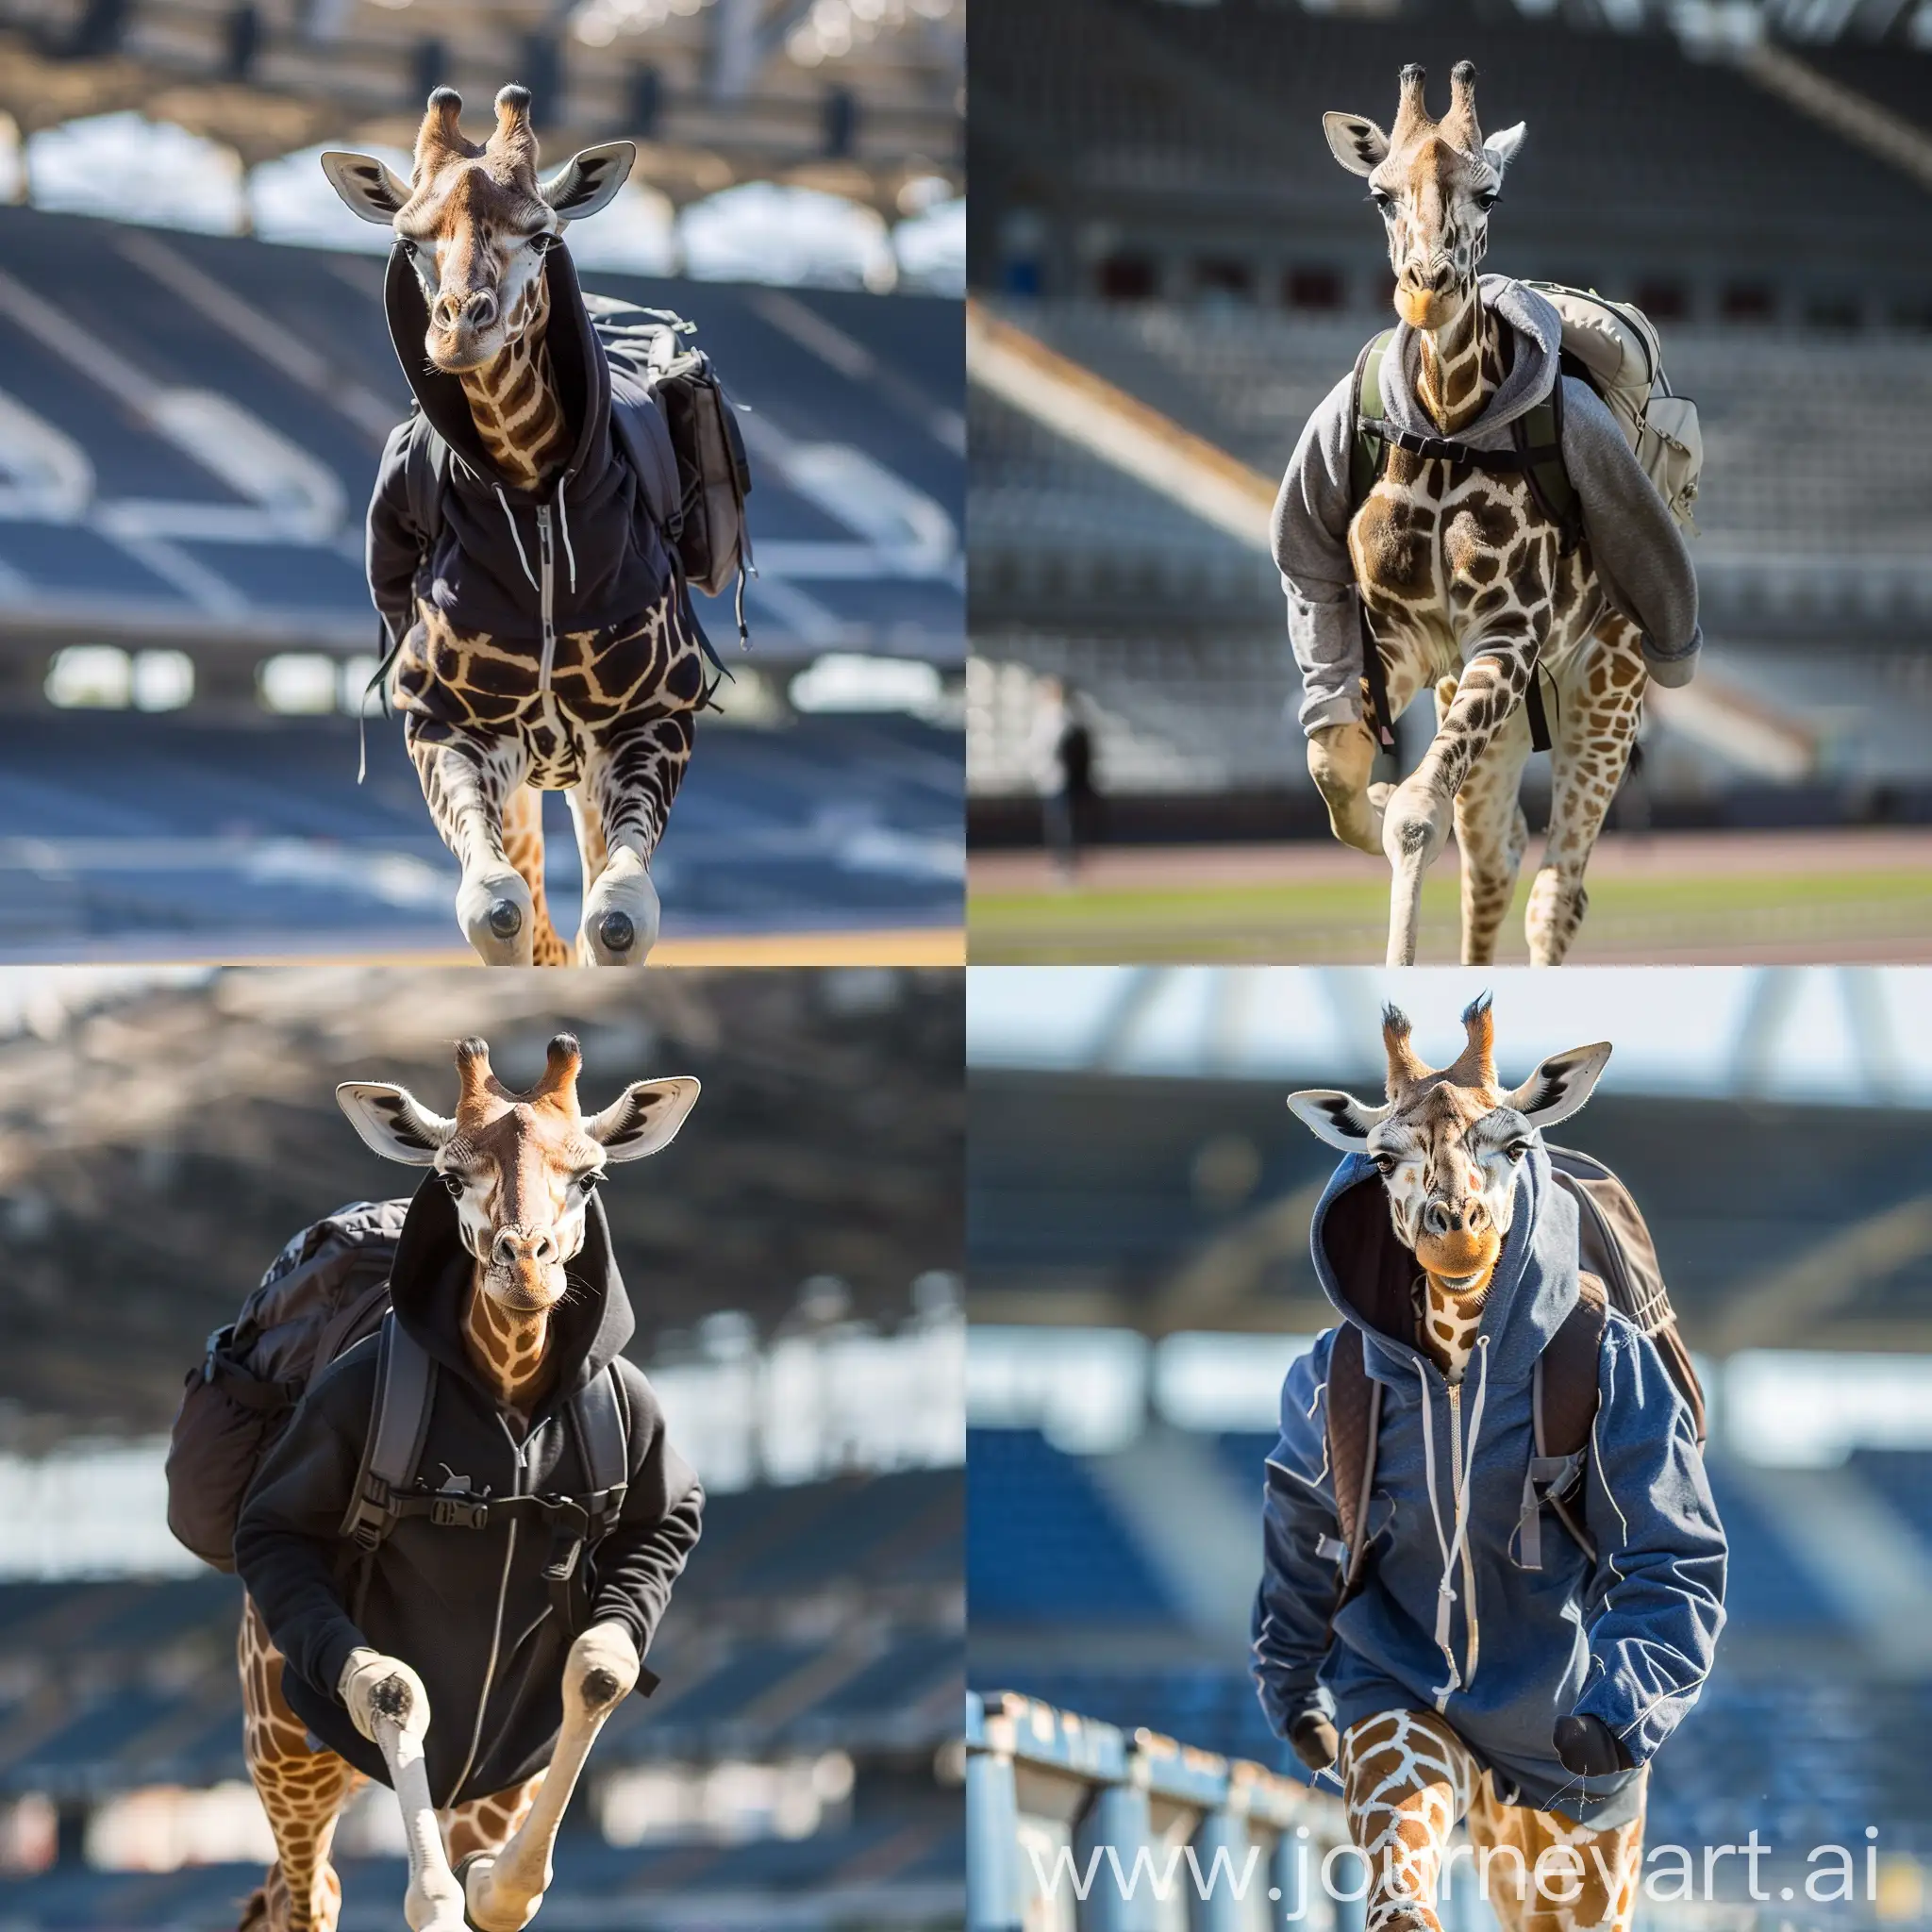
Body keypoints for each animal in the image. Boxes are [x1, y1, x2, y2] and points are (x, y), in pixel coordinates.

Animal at [234, 1042, 703, 1932]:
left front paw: (495, 1883)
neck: (510, 1407)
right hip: (284, 1742)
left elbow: (599, 1668)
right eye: (451, 1177)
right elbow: (388, 1686)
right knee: (303, 1894)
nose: (525, 1266)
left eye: (589, 1175)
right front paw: (442, 1898)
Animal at [320, 89, 714, 966]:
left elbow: (618, 918)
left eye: (540, 233)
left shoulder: (649, 721)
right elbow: (499, 910)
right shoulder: (447, 725)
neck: (533, 502)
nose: (458, 327)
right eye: (410, 239)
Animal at [1313, 60, 1645, 966]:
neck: (1446, 428)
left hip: (1607, 689)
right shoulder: (1405, 637)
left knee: (1559, 889)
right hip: (1499, 700)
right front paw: (1367, 806)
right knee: (1495, 855)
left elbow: (1417, 815)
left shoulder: (1507, 632)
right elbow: (1343, 771)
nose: (1427, 289)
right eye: (1382, 194)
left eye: (1487, 193)